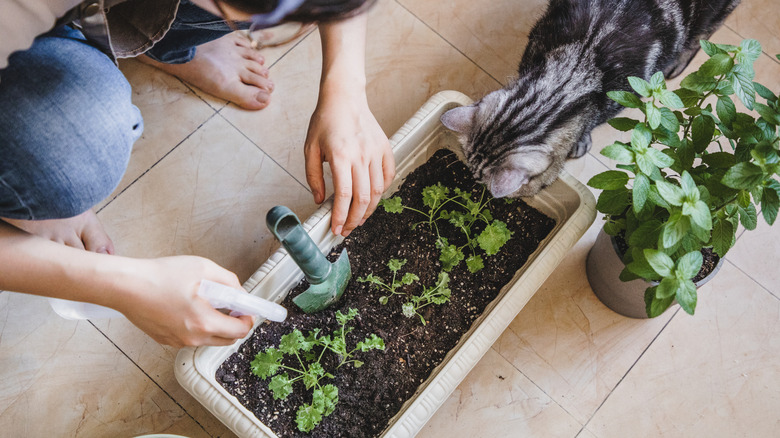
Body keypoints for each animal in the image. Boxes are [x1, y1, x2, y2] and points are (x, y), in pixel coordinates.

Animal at [442, 0, 740, 197]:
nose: (472, 182)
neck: (577, 65)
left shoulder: (626, 94)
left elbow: (593, 121)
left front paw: (582, 138)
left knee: (707, 32)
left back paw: (680, 62)